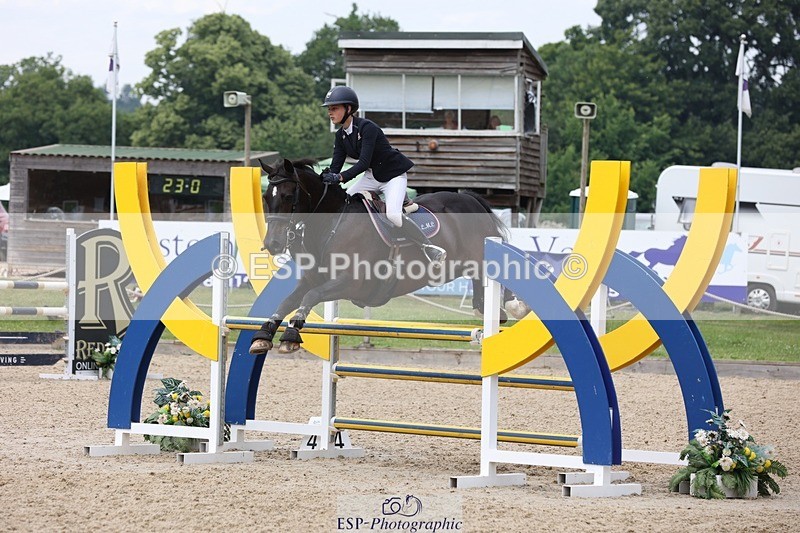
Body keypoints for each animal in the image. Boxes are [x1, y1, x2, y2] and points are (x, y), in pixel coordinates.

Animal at [249, 158, 524, 355]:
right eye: (264, 197)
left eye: (287, 196)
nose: (272, 244)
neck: (331, 224)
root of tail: (468, 197)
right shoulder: (313, 279)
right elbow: (287, 301)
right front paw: (263, 335)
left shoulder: (349, 283)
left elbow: (310, 297)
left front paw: (291, 336)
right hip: (465, 263)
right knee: (479, 280)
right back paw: (486, 308)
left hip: (480, 253)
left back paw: (513, 306)